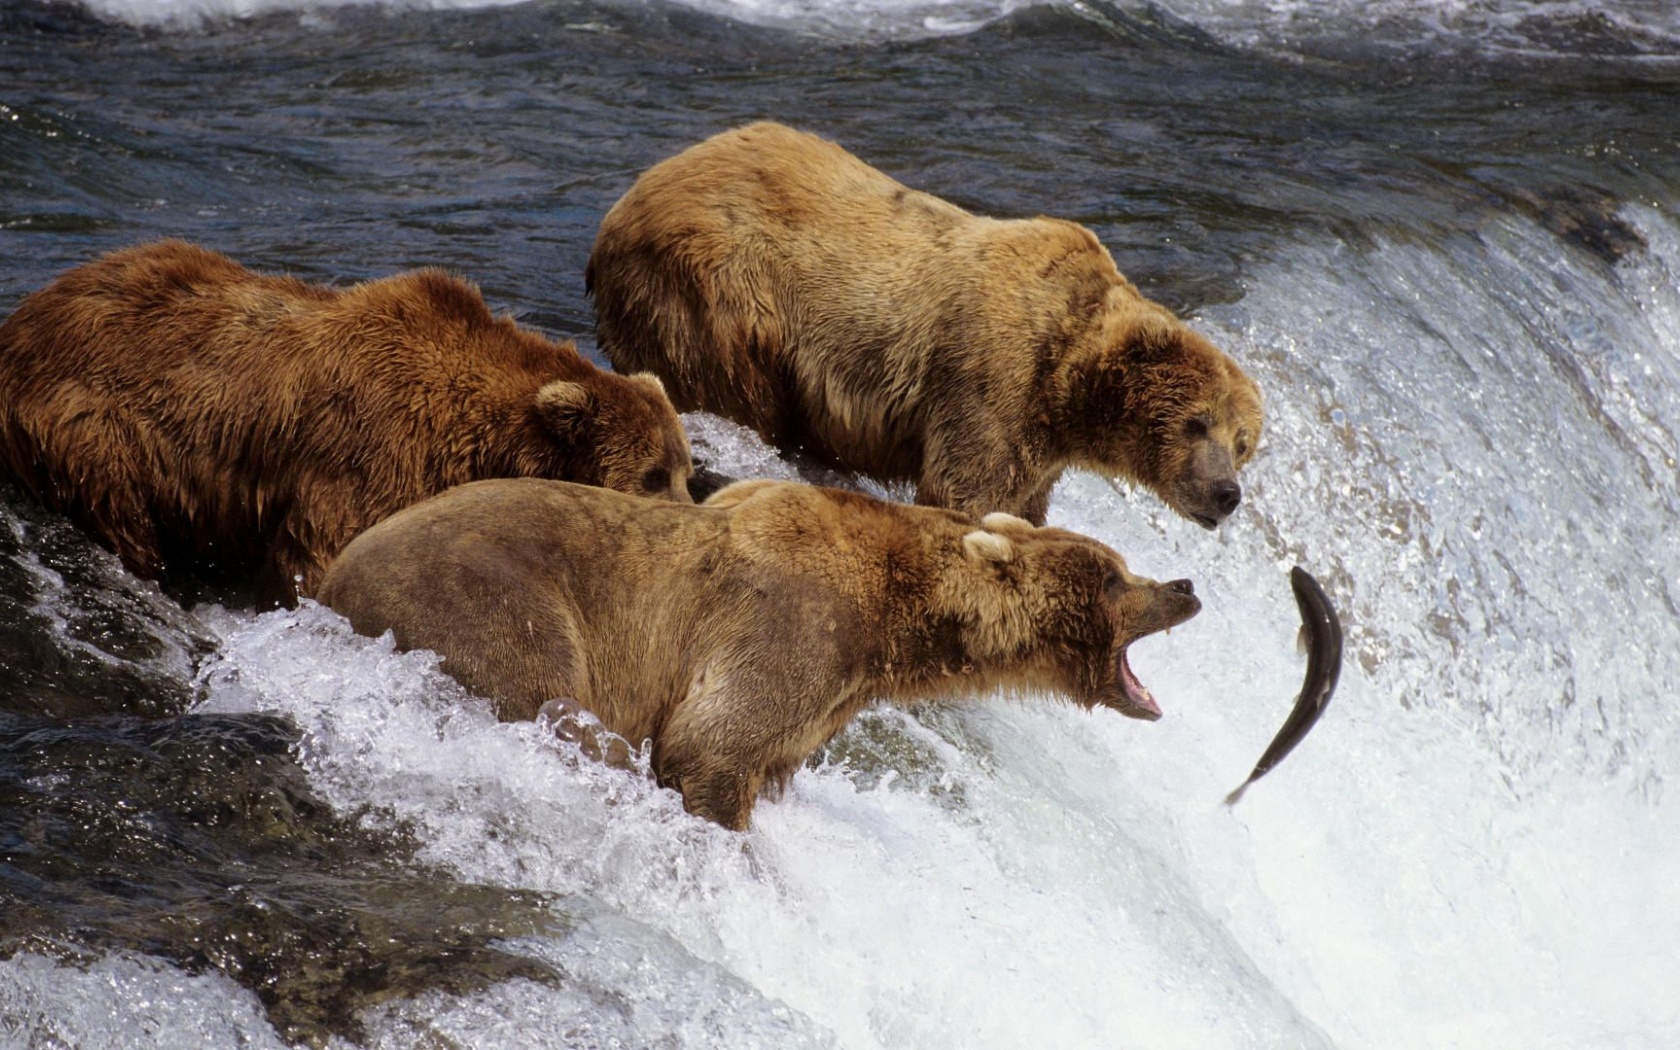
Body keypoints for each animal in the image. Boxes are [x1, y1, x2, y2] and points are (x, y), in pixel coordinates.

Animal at [0, 236, 695, 598]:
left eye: (685, 469)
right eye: (652, 475)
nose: (691, 518)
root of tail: (22, 320)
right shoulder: (369, 453)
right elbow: (324, 552)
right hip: (95, 423)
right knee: (121, 510)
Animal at [317, 473, 1209, 826]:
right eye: (1111, 576)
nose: (1184, 585)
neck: (895, 619)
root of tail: (329, 580)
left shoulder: (828, 694)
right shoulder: (792, 626)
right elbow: (711, 743)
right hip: (492, 601)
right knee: (553, 701)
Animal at [591, 121, 1263, 527]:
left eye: (1242, 443)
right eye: (1196, 421)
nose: (1227, 494)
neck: (1067, 386)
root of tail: (626, 201)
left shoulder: (1040, 446)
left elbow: (1023, 505)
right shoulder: (991, 380)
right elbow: (966, 492)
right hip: (717, 291)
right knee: (732, 388)